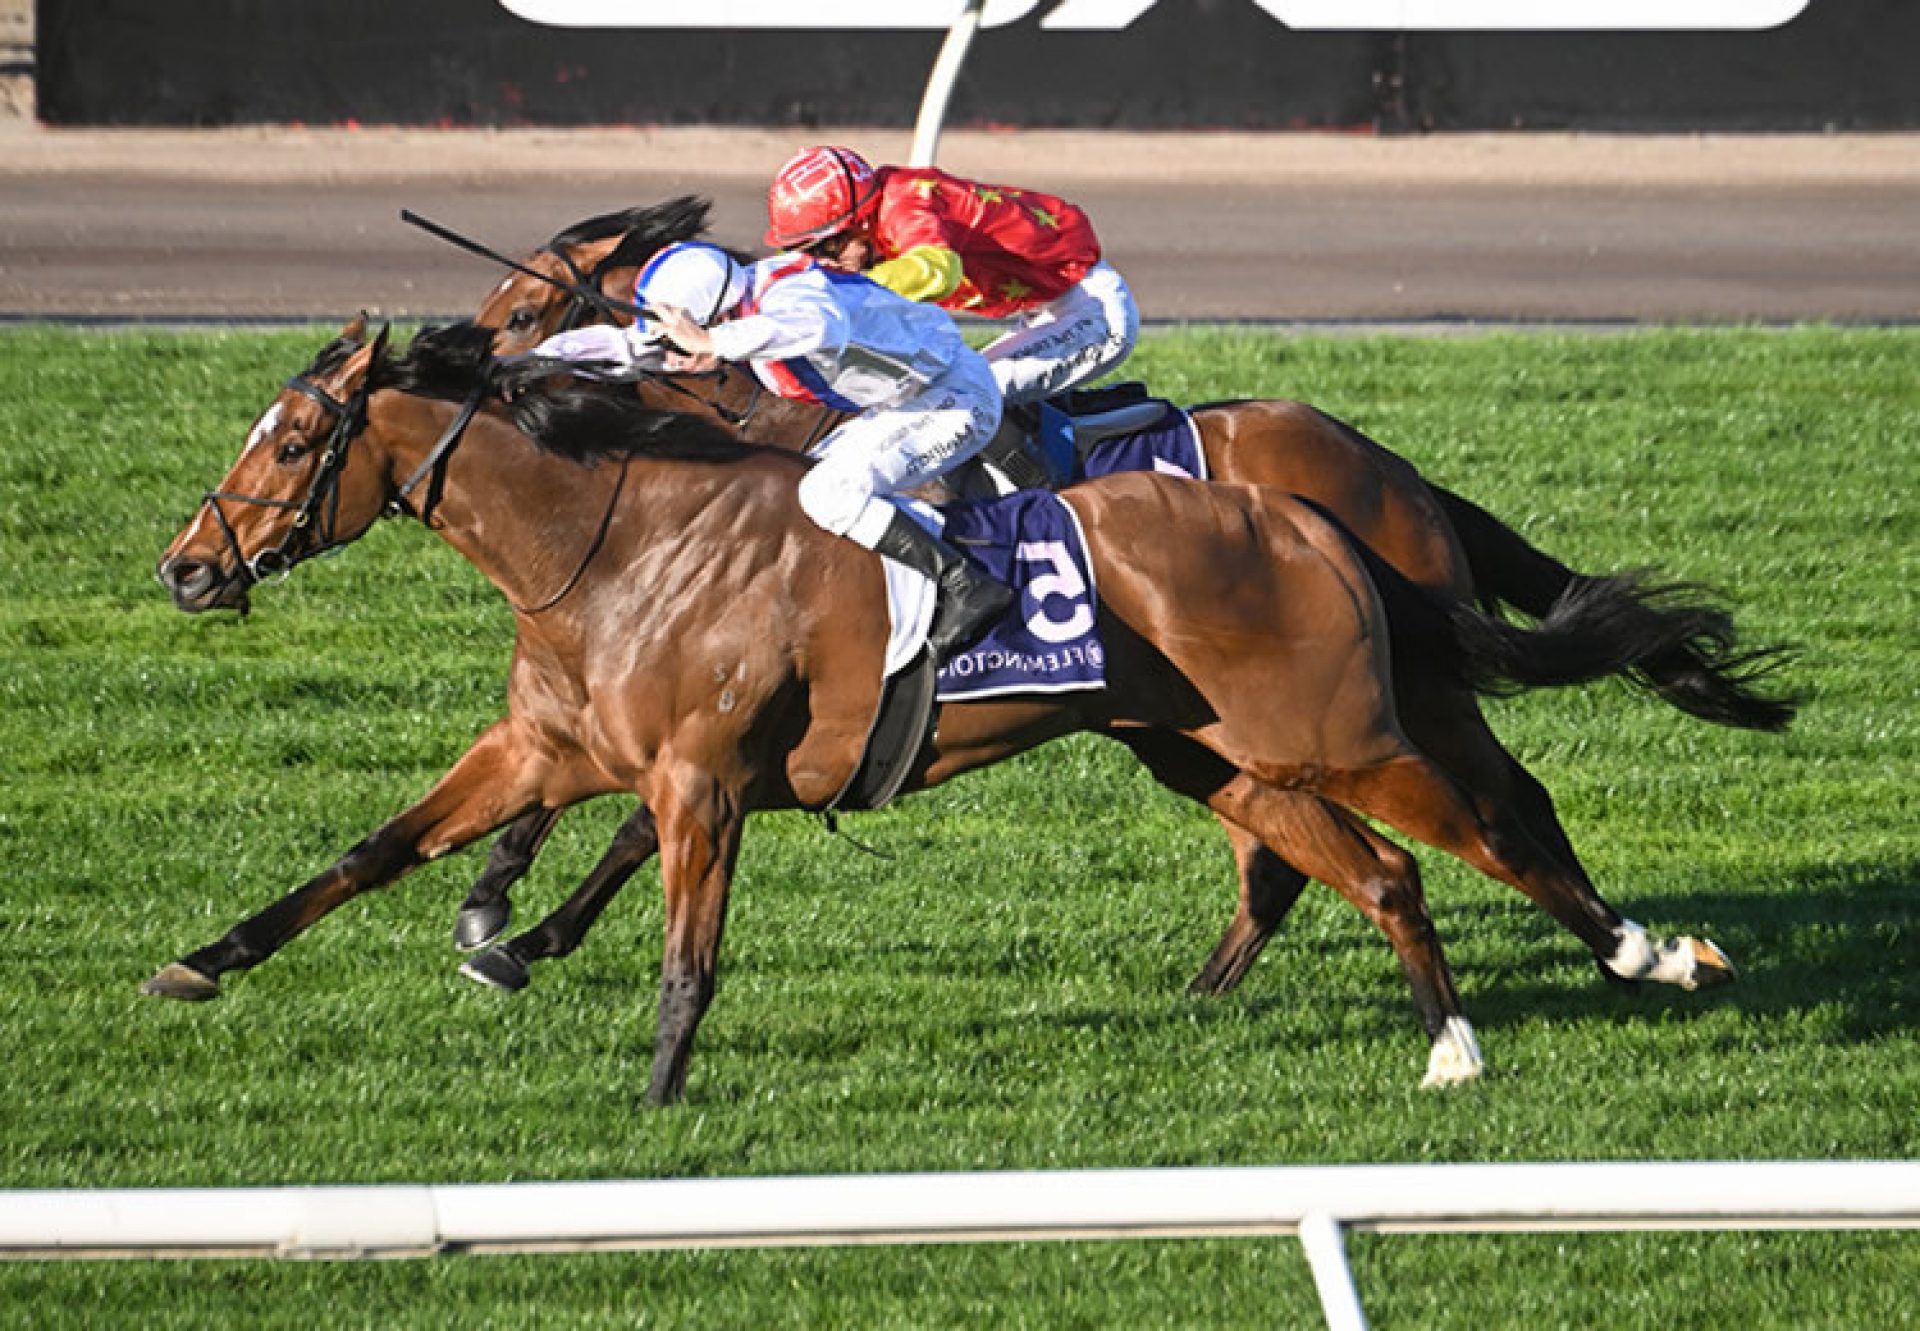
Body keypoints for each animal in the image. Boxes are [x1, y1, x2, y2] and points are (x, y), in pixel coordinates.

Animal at [153, 322, 1743, 1098]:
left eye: (291, 441)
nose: (186, 565)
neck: (620, 539)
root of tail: (1320, 504)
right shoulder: (543, 745)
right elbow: (366, 853)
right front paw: (202, 960)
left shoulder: (698, 779)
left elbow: (683, 946)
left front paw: (651, 1090)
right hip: (1217, 753)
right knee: (1373, 867)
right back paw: (1427, 1038)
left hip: (1351, 728)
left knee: (1495, 825)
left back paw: (1647, 954)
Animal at [441, 196, 1789, 983]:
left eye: (525, 297)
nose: (469, 354)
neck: (773, 428)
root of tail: (1387, 463)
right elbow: (578, 775)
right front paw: (495, 896)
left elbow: (639, 812)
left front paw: (525, 928)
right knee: (1333, 833)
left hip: (1399, 682)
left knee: (1496, 797)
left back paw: (1620, 947)